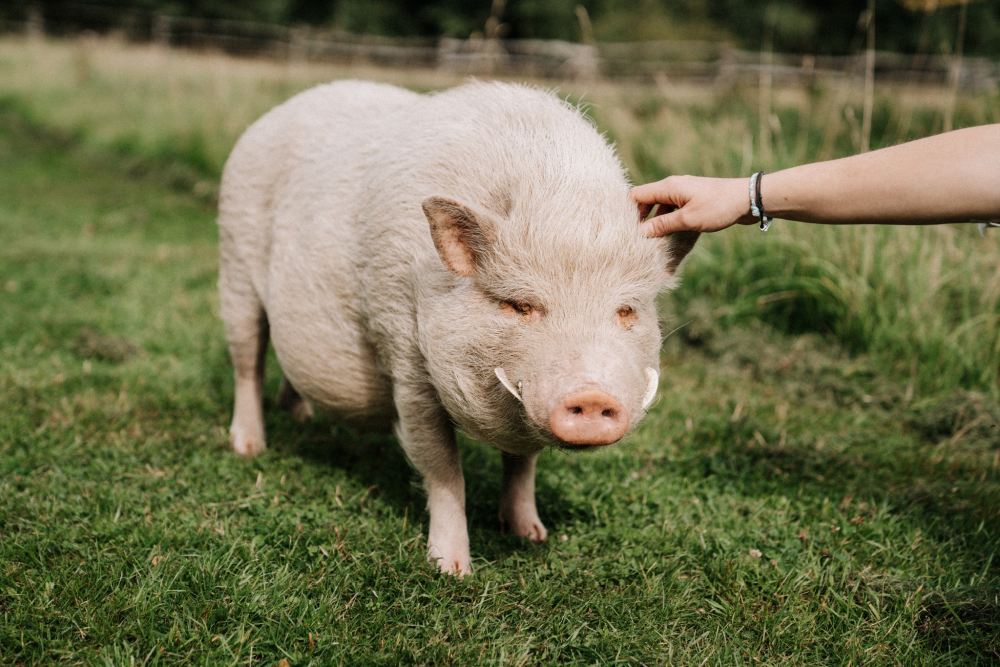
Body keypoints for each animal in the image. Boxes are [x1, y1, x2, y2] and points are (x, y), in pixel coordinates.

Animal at [220, 81, 700, 576]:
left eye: (626, 311)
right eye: (519, 305)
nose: (591, 395)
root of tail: (268, 118)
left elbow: (523, 463)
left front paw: (532, 536)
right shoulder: (407, 359)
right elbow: (443, 469)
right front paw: (452, 570)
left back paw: (300, 415)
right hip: (234, 262)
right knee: (247, 360)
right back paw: (248, 446)